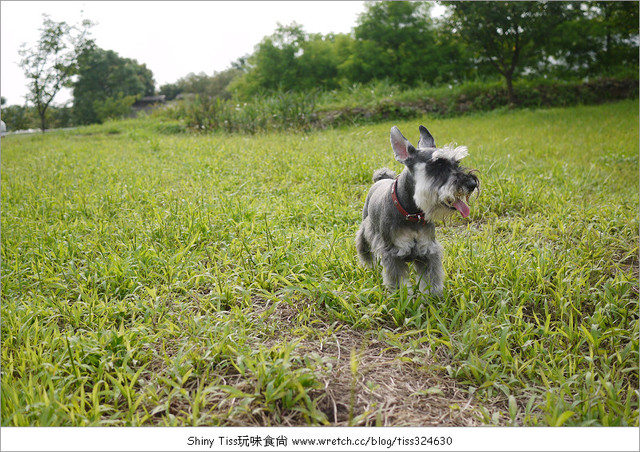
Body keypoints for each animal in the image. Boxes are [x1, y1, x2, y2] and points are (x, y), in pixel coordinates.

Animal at [356, 124, 480, 296]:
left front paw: (434, 296)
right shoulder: (392, 253)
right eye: (437, 165)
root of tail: (381, 179)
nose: (471, 184)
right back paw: (369, 266)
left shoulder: (427, 250)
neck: (412, 212)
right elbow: (398, 281)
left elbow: (431, 278)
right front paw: (401, 297)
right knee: (364, 249)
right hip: (366, 230)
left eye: (457, 162)